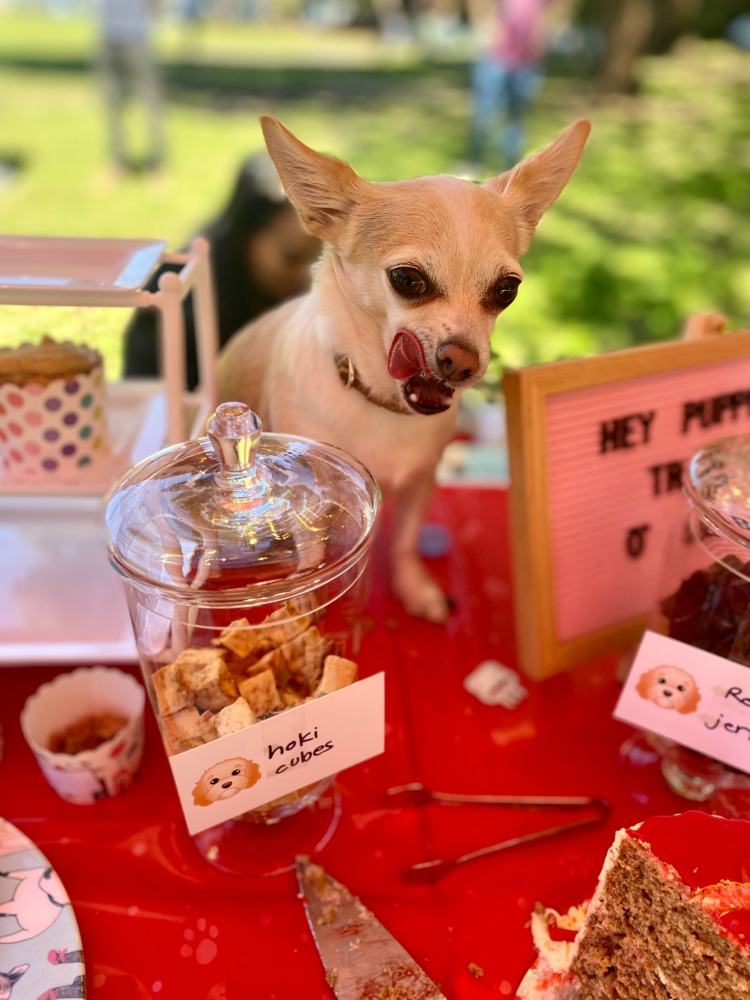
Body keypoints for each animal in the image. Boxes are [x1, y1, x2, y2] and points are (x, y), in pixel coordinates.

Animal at [217, 115, 592, 616]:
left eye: (507, 290)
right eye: (407, 280)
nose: (463, 361)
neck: (379, 402)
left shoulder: (422, 481)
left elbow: (405, 541)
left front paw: (414, 589)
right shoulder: (308, 498)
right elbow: (312, 555)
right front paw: (308, 606)